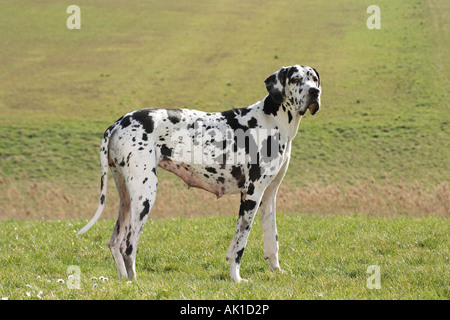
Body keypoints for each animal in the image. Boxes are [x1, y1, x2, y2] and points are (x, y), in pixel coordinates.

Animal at [79, 65, 322, 282]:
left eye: (313, 79)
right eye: (296, 79)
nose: (314, 92)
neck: (272, 120)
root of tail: (118, 123)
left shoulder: (268, 197)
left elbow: (272, 241)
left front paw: (276, 271)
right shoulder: (251, 195)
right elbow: (239, 246)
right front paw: (236, 278)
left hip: (127, 199)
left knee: (114, 242)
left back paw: (124, 280)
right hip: (144, 195)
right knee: (127, 245)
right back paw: (135, 281)